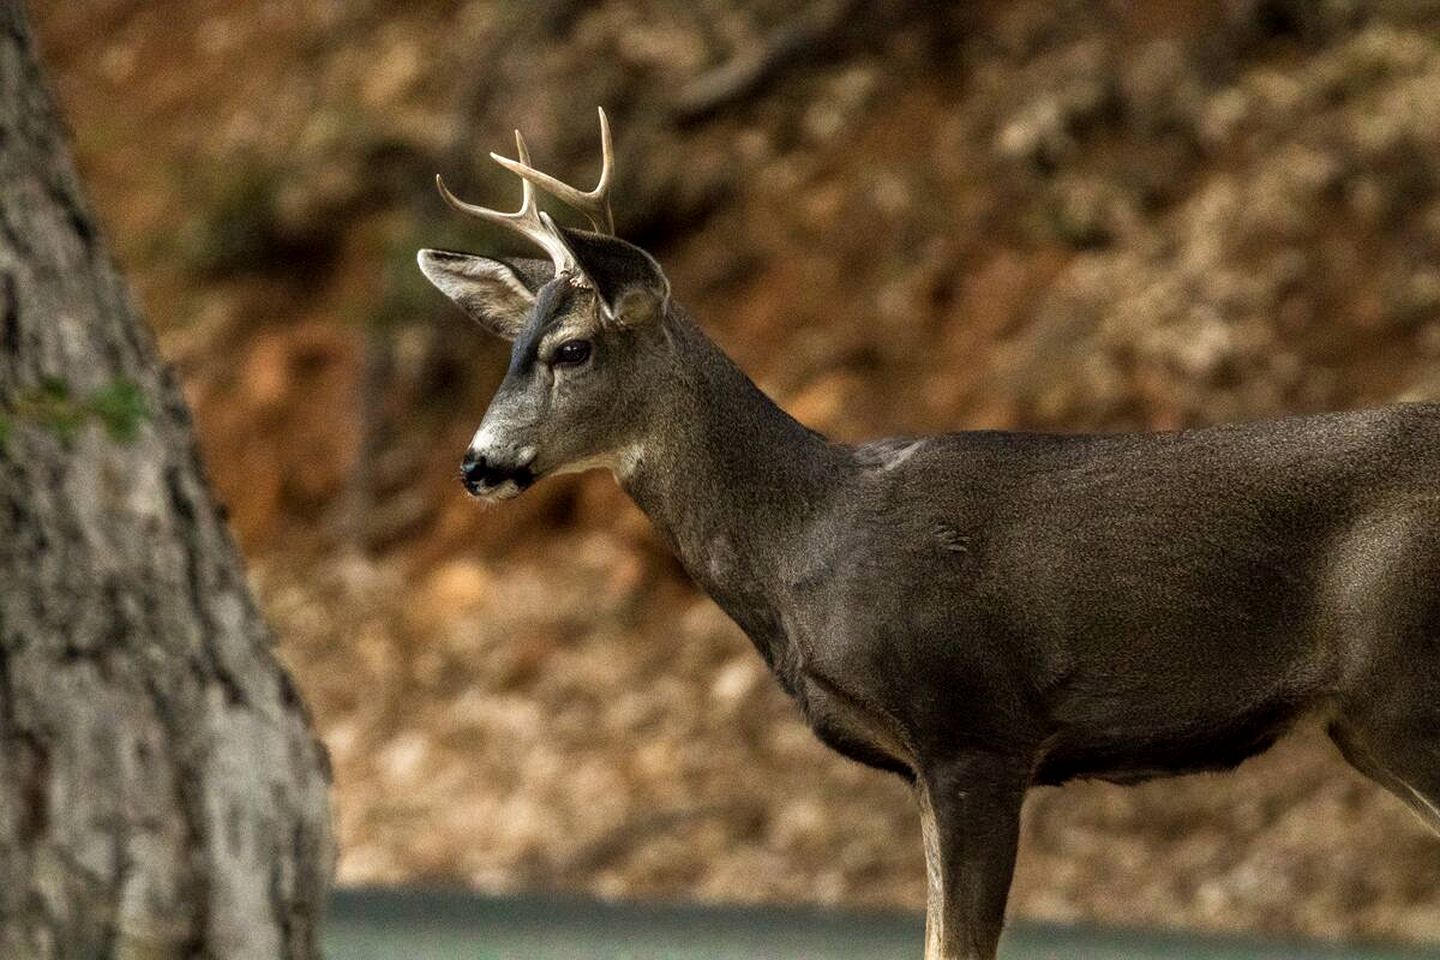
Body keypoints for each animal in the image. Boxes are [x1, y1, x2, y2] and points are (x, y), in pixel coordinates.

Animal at [417, 108, 1440, 955]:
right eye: (511, 350)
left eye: (572, 349)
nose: (476, 464)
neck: (806, 537)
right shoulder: (923, 764)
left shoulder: (975, 729)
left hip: (1401, 685)